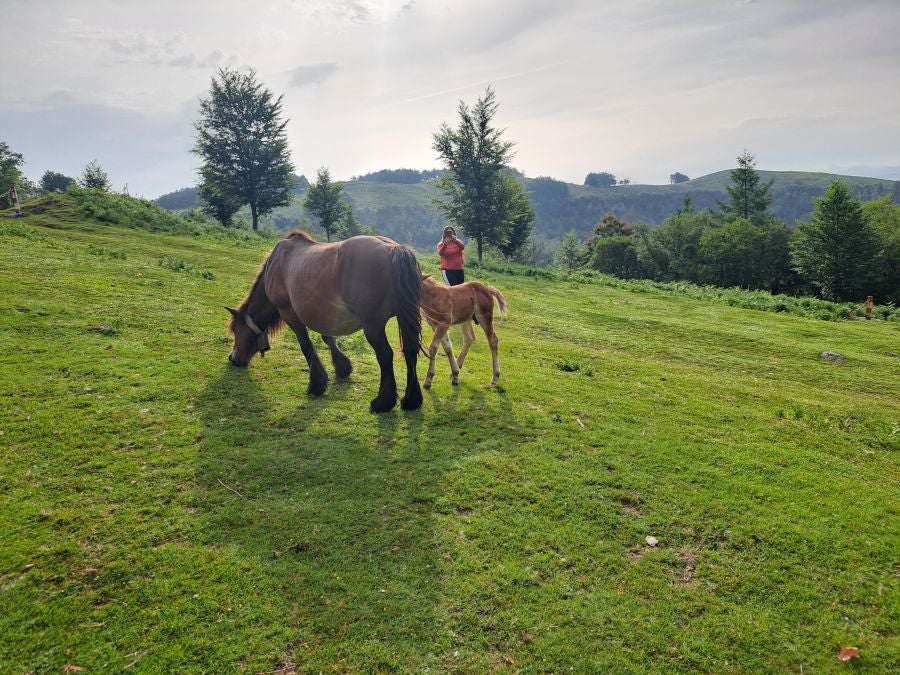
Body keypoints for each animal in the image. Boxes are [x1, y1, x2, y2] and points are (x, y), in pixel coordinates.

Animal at [225, 231, 422, 412]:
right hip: (404, 316)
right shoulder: (322, 313)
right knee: (410, 351)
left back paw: (383, 402)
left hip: (372, 325)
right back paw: (410, 400)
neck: (277, 263)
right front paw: (342, 367)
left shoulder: (289, 312)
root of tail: (393, 248)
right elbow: (328, 338)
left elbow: (306, 345)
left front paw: (316, 384)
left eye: (235, 330)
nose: (233, 359)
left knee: (385, 355)